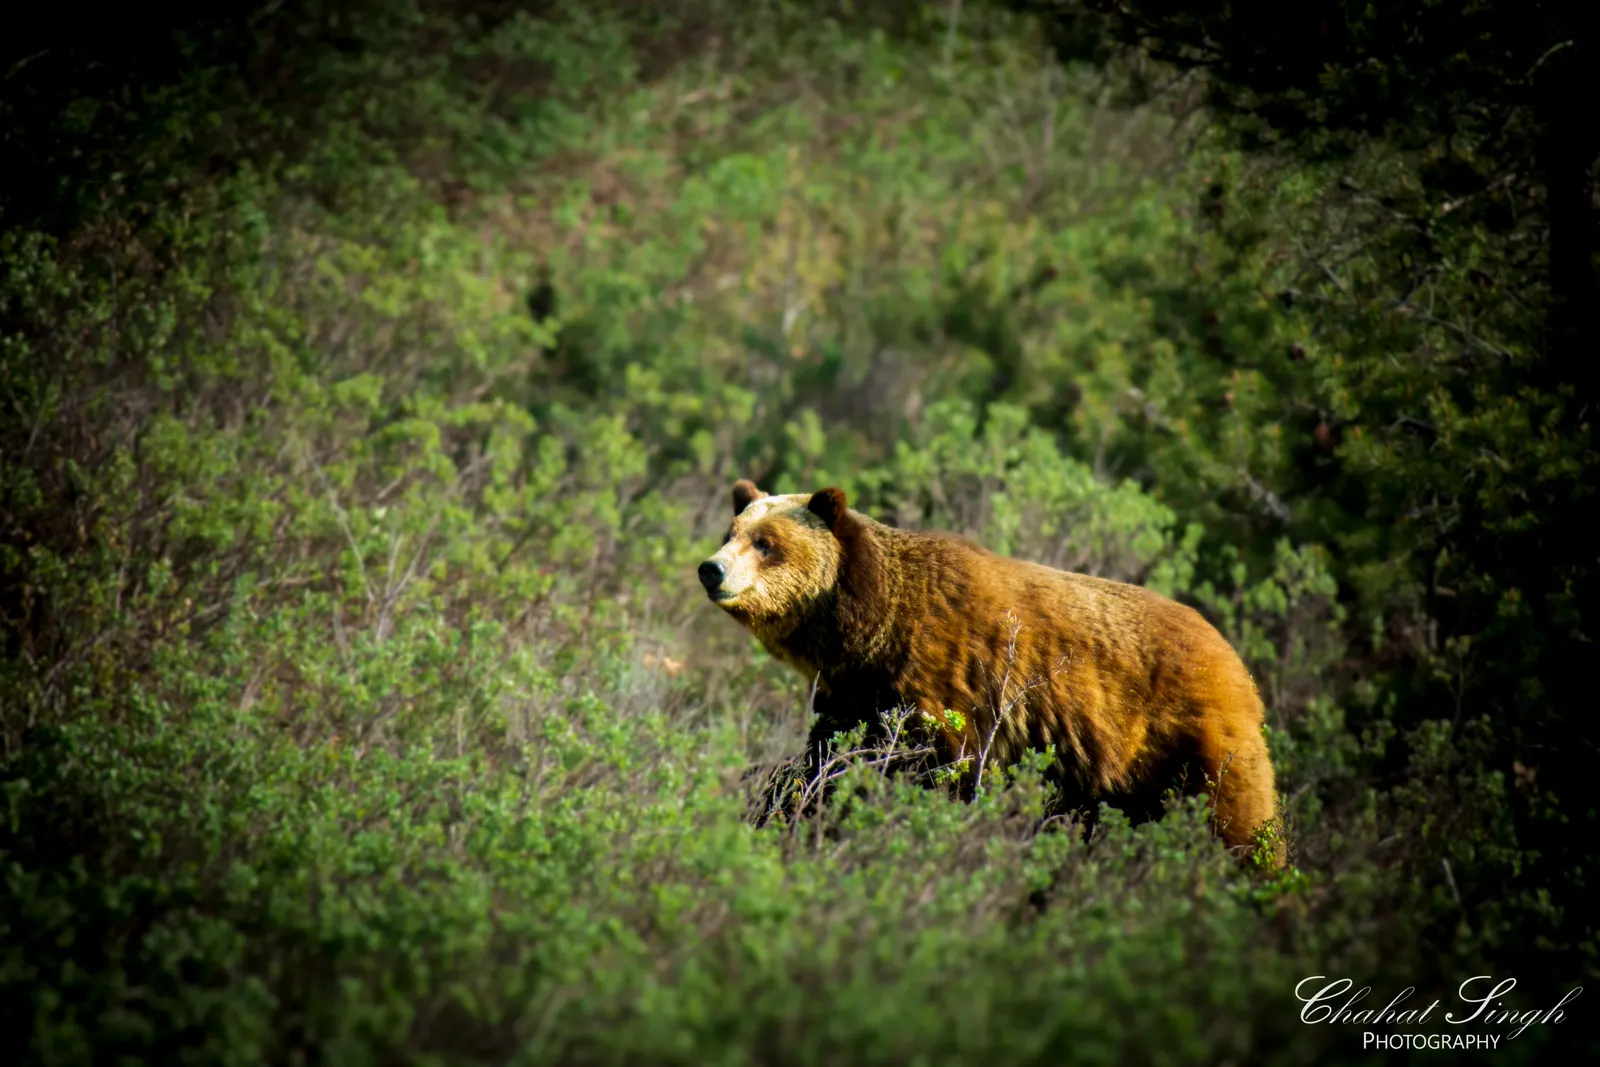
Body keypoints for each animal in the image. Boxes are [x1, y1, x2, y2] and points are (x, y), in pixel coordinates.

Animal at [699, 479, 1283, 865]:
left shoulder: (943, 678)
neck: (871, 624)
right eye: (731, 530)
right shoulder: (857, 691)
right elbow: (824, 762)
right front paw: (776, 810)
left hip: (1188, 740)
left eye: (766, 543)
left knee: (1237, 823)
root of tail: (1236, 660)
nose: (711, 569)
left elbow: (934, 770)